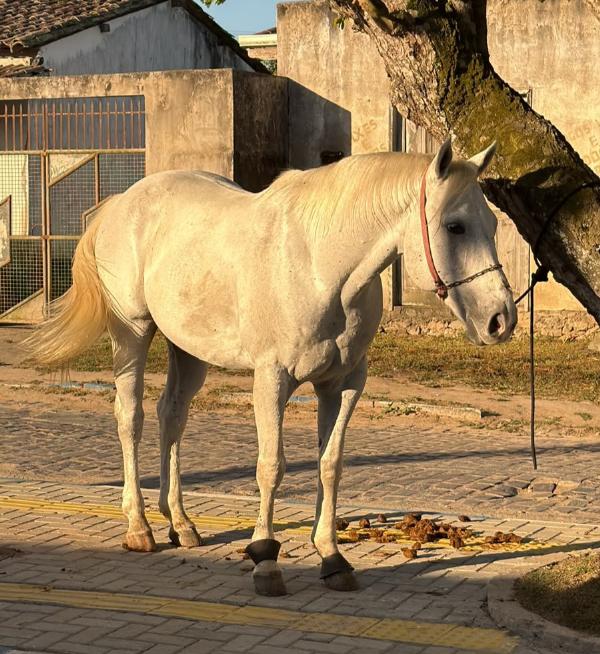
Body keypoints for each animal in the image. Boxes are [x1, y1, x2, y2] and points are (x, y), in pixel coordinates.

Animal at [31, 138, 516, 596]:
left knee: (172, 415)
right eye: (455, 226)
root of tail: (120, 203)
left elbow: (330, 465)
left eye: (492, 224)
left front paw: (332, 557)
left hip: (187, 350)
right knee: (130, 417)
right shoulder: (272, 379)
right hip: (131, 333)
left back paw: (181, 524)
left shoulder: (343, 384)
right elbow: (272, 467)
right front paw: (265, 558)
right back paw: (139, 527)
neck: (320, 266)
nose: (501, 320)